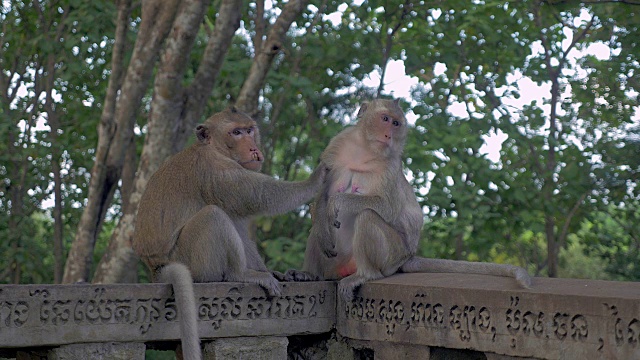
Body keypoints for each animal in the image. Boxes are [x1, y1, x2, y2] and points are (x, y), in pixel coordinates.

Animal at [133, 107, 328, 360]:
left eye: (249, 130)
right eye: (235, 133)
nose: (253, 148)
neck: (213, 148)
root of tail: (157, 269)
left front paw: (279, 273)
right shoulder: (214, 169)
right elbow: (260, 195)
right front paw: (316, 178)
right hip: (191, 259)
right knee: (213, 216)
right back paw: (241, 274)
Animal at [288, 97, 532, 300]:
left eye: (396, 124)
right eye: (385, 119)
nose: (388, 135)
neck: (364, 150)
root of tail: (407, 256)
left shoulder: (391, 165)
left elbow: (386, 207)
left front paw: (337, 203)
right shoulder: (336, 147)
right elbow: (322, 197)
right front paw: (324, 217)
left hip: (392, 255)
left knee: (367, 217)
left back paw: (365, 275)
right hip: (339, 260)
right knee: (319, 226)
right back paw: (310, 273)